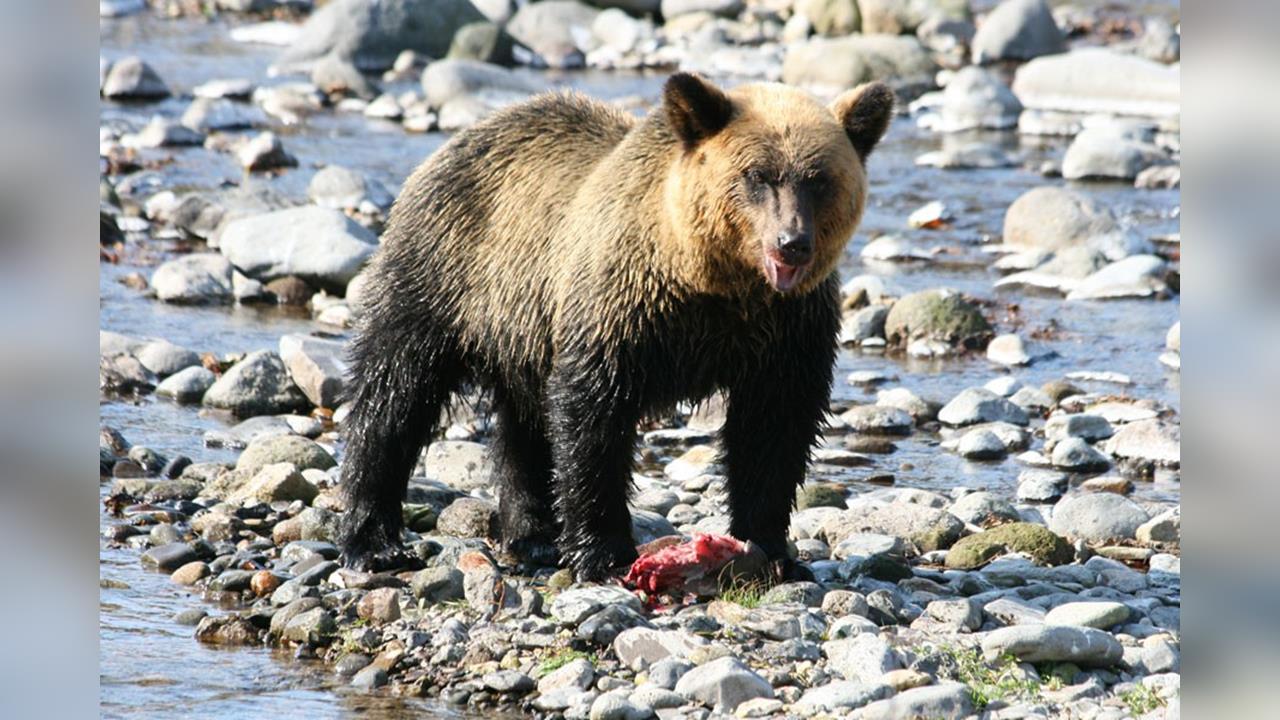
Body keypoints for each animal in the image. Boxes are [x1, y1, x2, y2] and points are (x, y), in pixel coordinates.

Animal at [337, 72, 893, 580]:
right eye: (757, 175)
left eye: (819, 178)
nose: (791, 243)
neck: (714, 283)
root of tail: (465, 135)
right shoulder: (623, 307)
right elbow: (593, 417)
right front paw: (603, 553)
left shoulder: (785, 331)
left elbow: (775, 428)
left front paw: (771, 551)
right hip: (445, 271)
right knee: (394, 391)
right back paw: (375, 541)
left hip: (524, 329)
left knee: (523, 426)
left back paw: (533, 536)